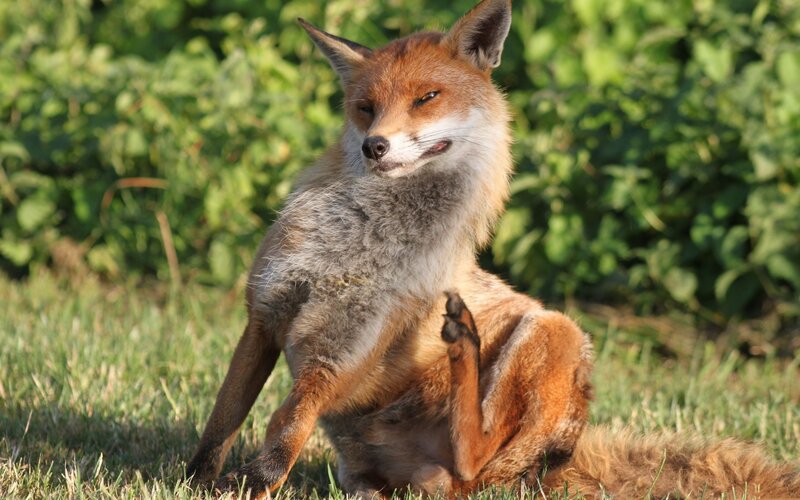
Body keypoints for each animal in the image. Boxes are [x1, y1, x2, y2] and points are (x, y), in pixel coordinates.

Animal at [186, 0, 800, 497]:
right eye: (364, 107)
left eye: (427, 98)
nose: (374, 146)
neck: (354, 247)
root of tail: (555, 465)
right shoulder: (265, 316)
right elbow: (223, 419)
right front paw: (196, 482)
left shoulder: (346, 348)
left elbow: (287, 426)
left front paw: (255, 483)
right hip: (364, 474)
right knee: (444, 478)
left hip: (554, 333)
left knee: (469, 462)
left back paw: (466, 344)